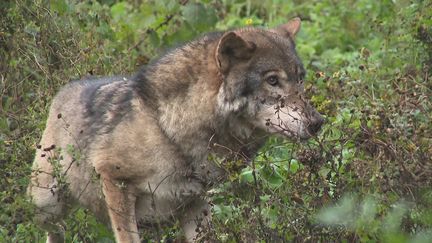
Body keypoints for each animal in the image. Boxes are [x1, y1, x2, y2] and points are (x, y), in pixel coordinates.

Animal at [27, 18, 324, 242]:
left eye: (300, 79)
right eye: (272, 81)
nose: (318, 122)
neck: (168, 129)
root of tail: (64, 89)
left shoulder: (196, 206)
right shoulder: (114, 180)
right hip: (47, 205)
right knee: (53, 230)